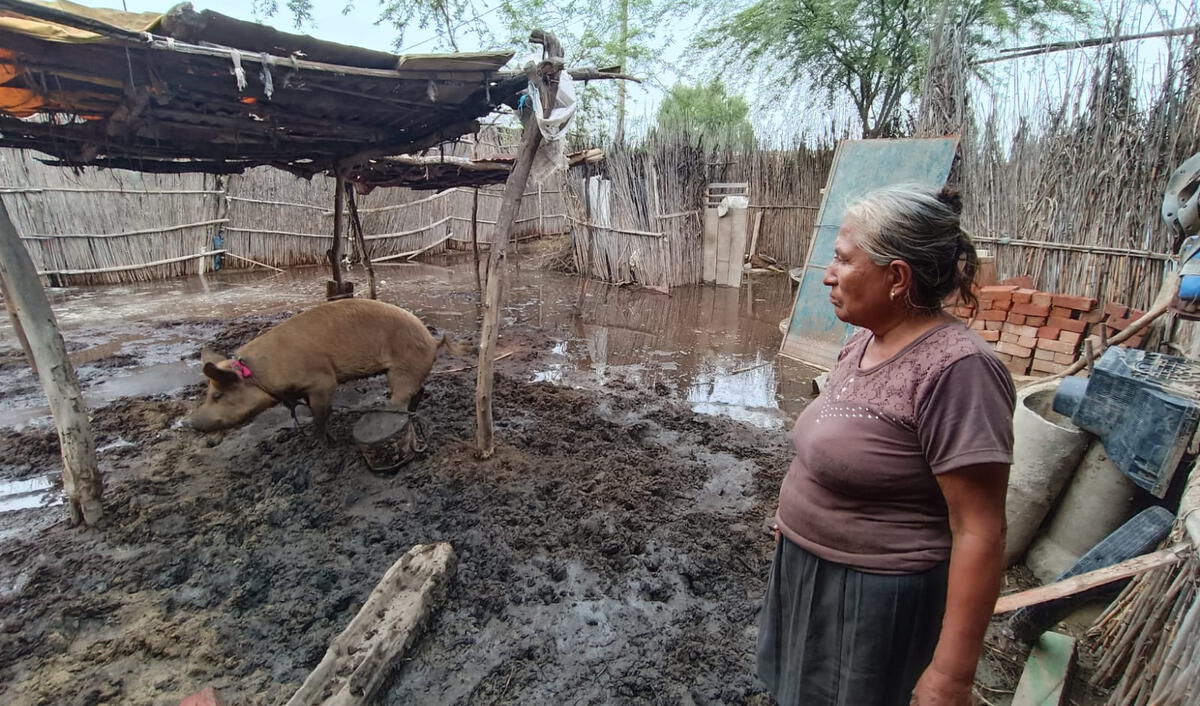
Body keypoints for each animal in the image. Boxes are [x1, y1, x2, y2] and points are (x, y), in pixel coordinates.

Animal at [188, 296, 468, 439]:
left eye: (217, 395)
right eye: (208, 394)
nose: (191, 422)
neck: (260, 373)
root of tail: (432, 339)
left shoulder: (322, 380)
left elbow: (321, 412)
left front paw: (320, 439)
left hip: (405, 367)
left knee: (403, 396)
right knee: (419, 392)